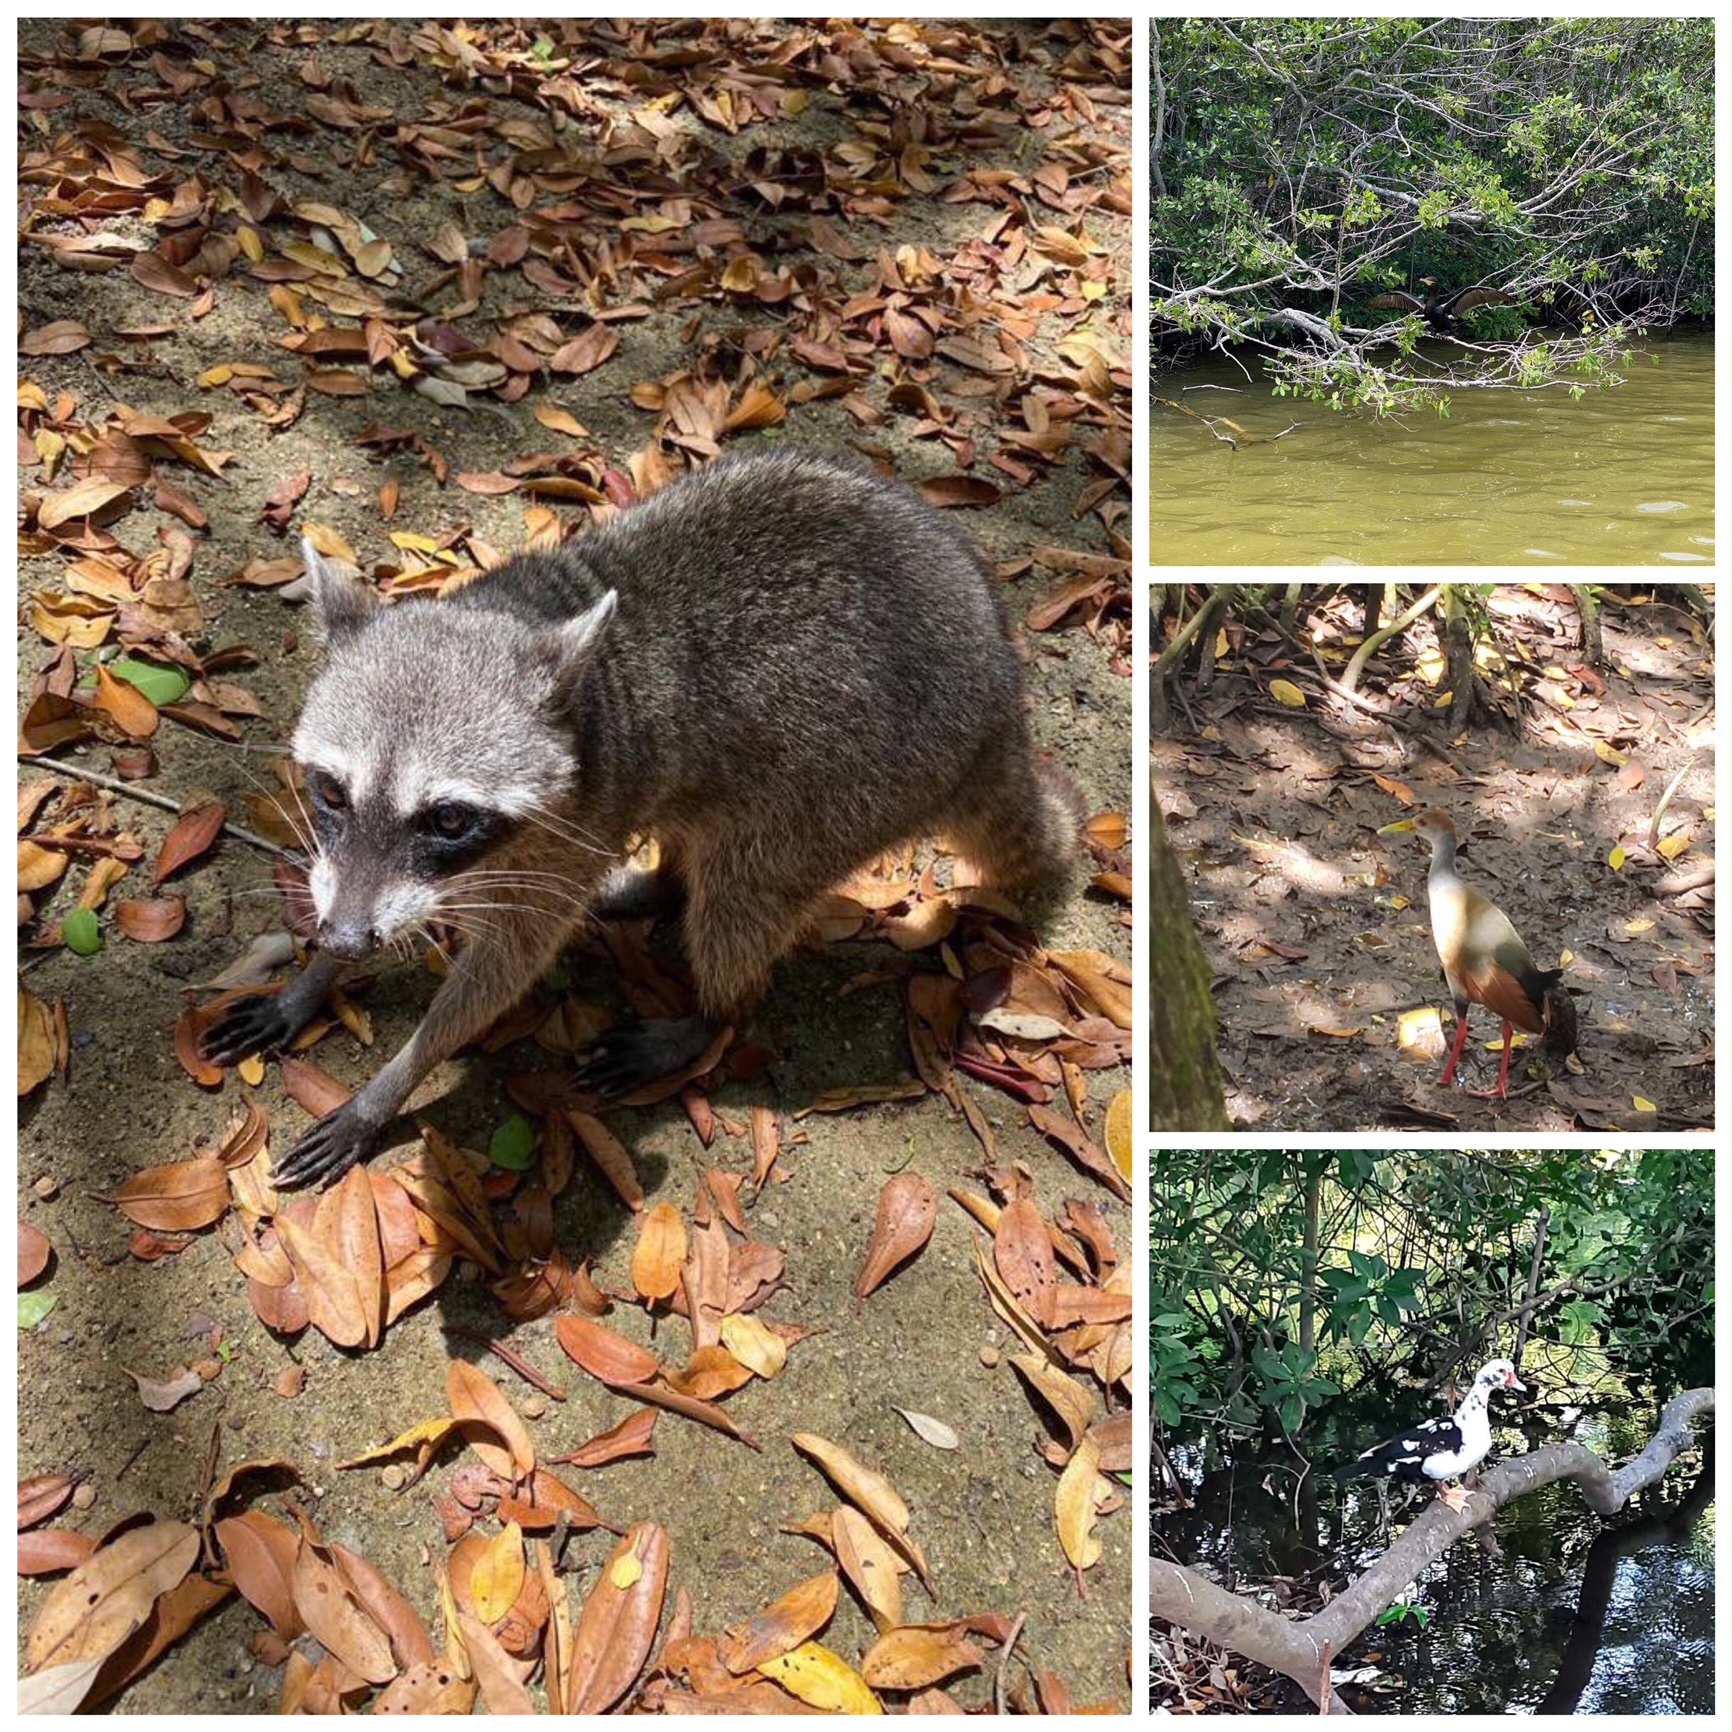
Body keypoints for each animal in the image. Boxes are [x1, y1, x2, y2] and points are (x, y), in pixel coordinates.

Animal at [206, 443, 1080, 1191]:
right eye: (331, 792)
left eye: (448, 818)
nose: (347, 939)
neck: (515, 613)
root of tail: (1002, 695)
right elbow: (358, 887)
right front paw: (317, 974)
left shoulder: (567, 827)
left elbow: (500, 972)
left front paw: (390, 1080)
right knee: (702, 833)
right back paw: (660, 885)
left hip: (857, 780)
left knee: (744, 893)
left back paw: (712, 1011)